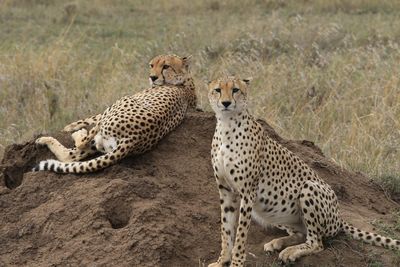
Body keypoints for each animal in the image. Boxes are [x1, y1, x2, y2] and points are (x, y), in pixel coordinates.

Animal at [33, 55, 196, 175]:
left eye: (166, 66)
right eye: (151, 65)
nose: (153, 77)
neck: (185, 81)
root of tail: (134, 138)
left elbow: (90, 117)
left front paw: (69, 127)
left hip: (118, 103)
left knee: (78, 146)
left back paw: (65, 135)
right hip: (104, 141)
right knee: (71, 156)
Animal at [206, 76, 400, 266]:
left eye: (235, 90)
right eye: (218, 90)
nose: (225, 103)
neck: (227, 125)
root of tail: (339, 218)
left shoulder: (248, 193)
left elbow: (240, 234)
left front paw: (236, 262)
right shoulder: (226, 190)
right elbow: (226, 229)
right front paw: (222, 260)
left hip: (309, 188)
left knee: (316, 242)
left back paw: (291, 252)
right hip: (270, 210)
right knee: (301, 233)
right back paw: (278, 243)